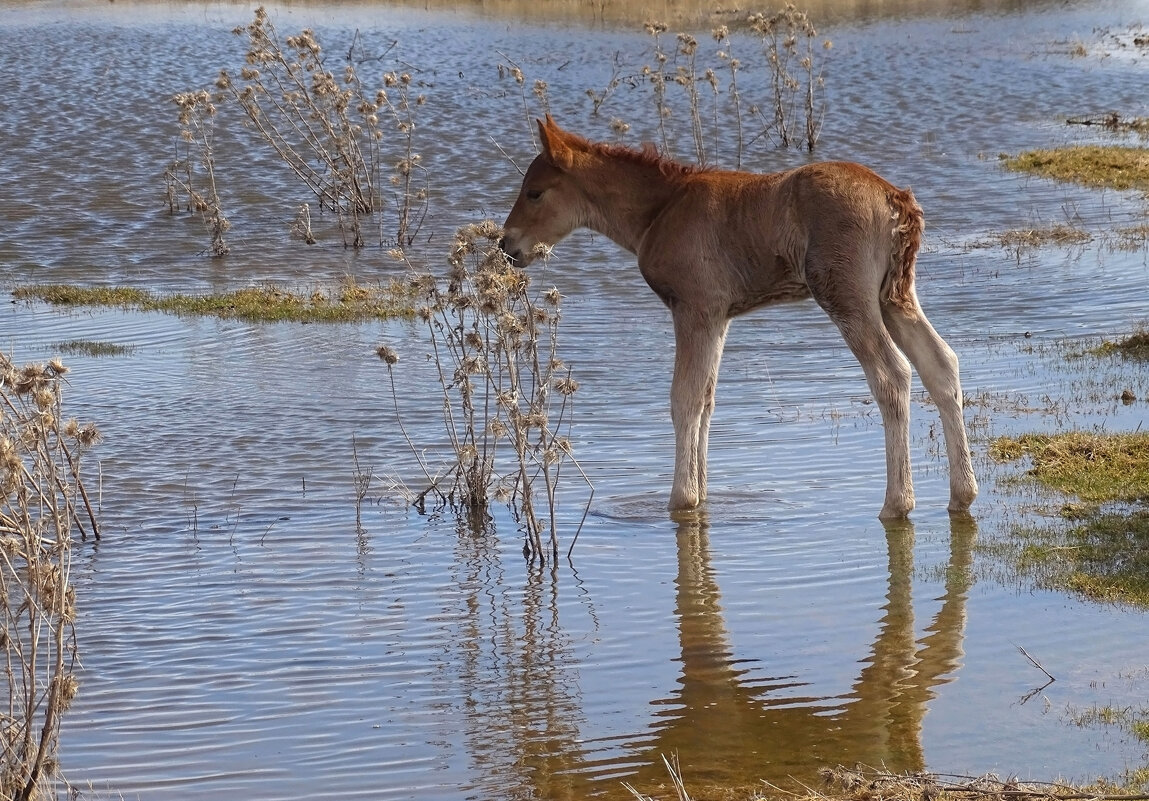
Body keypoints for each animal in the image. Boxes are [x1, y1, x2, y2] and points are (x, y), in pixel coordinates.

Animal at [503, 117, 978, 519]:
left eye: (535, 192)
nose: (508, 245)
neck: (656, 213)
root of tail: (897, 200)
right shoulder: (719, 316)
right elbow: (707, 399)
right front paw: (702, 494)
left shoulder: (693, 306)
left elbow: (684, 398)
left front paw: (681, 500)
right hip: (894, 297)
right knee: (941, 363)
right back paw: (962, 493)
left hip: (846, 294)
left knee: (892, 374)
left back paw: (897, 503)